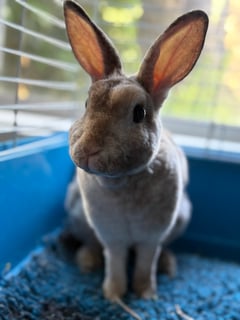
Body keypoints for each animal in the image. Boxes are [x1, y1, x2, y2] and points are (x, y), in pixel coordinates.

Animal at [63, 0, 208, 302]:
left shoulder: (151, 236)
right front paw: (114, 295)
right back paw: (87, 261)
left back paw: (168, 265)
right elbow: (116, 262)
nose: (89, 150)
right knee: (90, 244)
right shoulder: (112, 236)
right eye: (86, 104)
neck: (121, 183)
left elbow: (144, 262)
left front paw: (146, 295)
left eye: (139, 113)